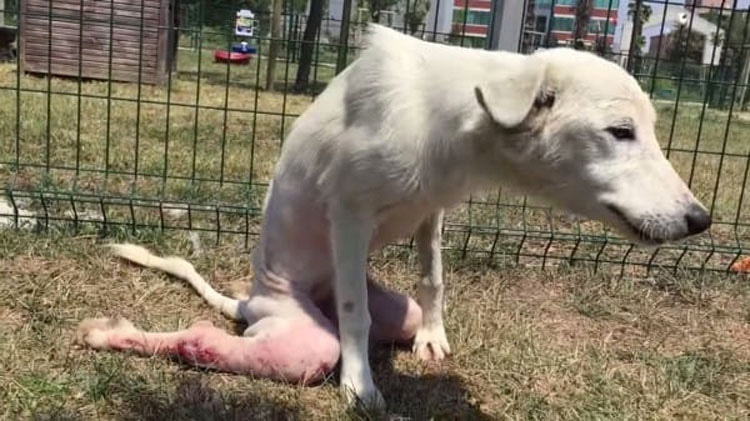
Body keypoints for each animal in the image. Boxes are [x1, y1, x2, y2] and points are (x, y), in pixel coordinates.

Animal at [76, 24, 712, 408]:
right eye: (621, 132)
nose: (701, 220)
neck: (447, 118)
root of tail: (250, 300)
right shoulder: (349, 213)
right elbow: (355, 316)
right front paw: (361, 385)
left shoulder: (432, 210)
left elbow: (433, 278)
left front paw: (433, 338)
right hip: (300, 338)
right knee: (205, 341)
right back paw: (113, 335)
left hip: (389, 308)